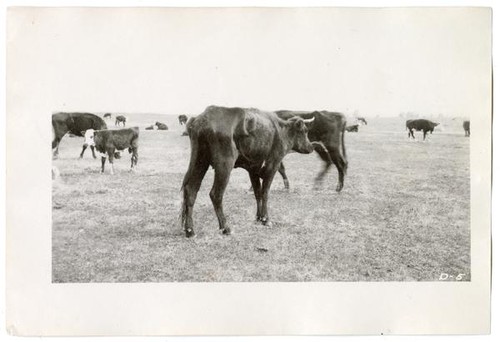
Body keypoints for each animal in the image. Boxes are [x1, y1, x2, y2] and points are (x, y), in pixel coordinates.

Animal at [180, 105, 314, 236]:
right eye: (305, 131)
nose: (311, 147)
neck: (281, 131)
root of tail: (203, 118)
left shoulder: (253, 170)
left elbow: (257, 193)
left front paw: (259, 217)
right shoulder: (272, 166)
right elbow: (265, 193)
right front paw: (266, 219)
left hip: (200, 162)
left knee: (191, 190)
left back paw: (190, 230)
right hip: (224, 165)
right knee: (215, 194)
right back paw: (225, 228)